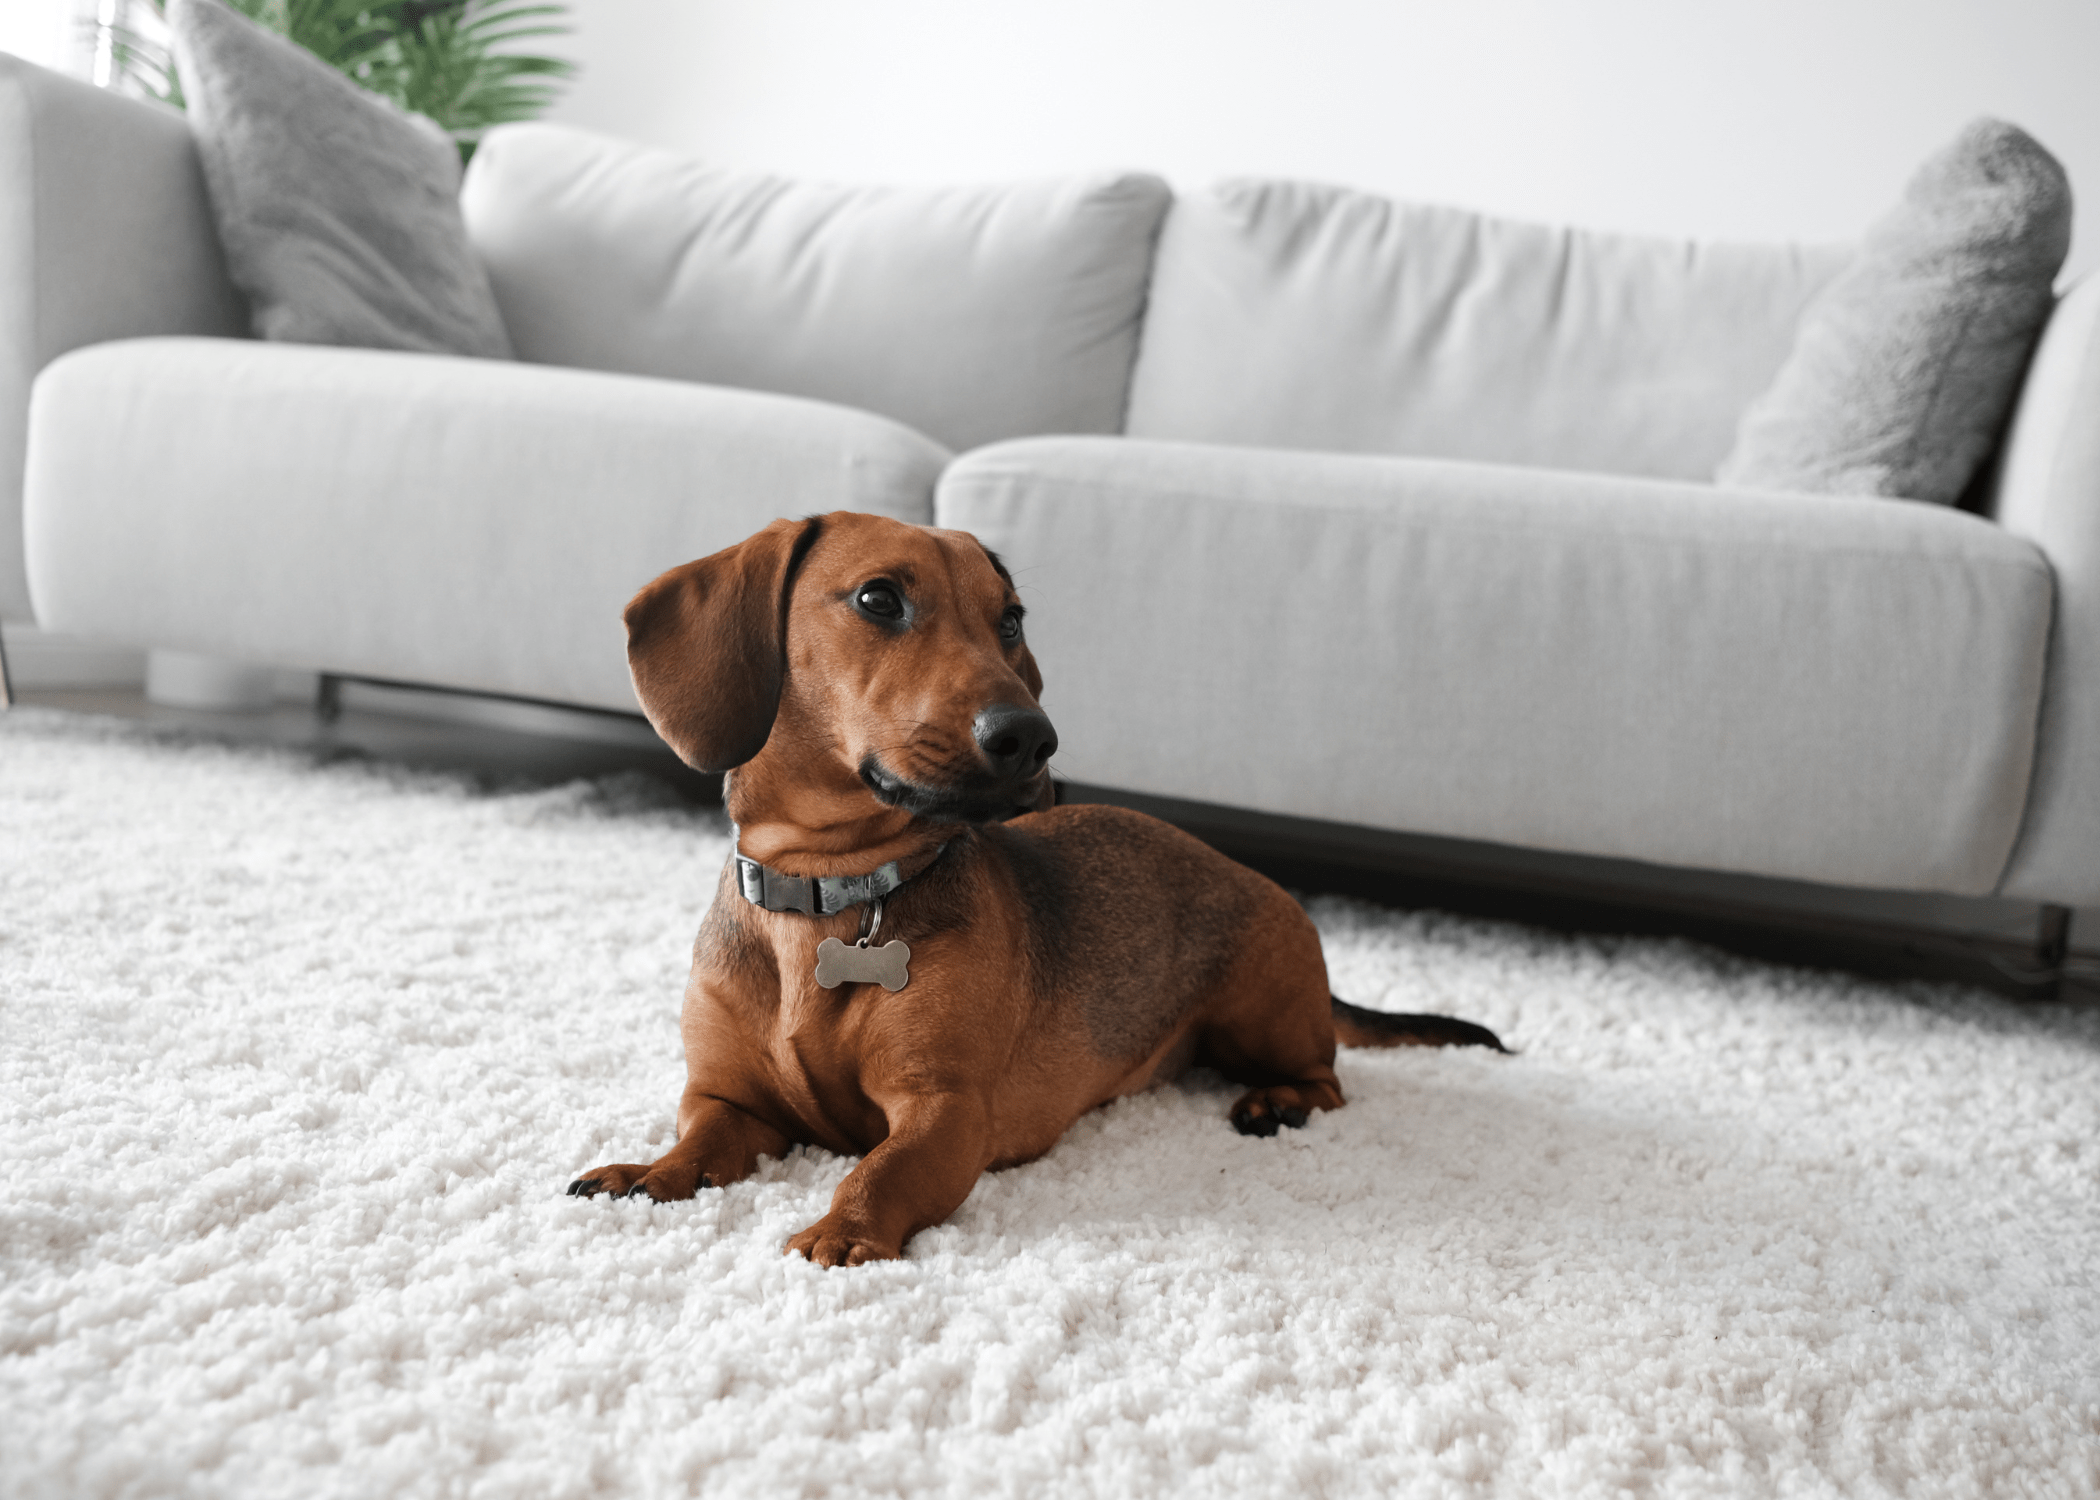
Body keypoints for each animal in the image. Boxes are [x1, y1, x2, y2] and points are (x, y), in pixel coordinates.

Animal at [567, 508, 1503, 1252]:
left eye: (1010, 619)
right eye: (878, 599)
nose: (1032, 737)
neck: (831, 896)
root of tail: (1249, 875)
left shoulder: (945, 1112)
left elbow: (879, 1172)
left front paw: (841, 1230)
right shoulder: (727, 1099)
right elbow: (696, 1143)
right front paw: (648, 1173)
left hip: (1259, 1018)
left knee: (1329, 1080)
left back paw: (1279, 1103)